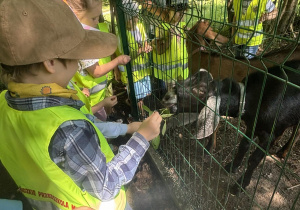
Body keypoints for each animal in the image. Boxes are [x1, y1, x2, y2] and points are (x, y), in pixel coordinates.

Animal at [163, 60, 300, 194]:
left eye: (201, 91)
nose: (167, 96)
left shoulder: (269, 134)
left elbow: (254, 160)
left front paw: (240, 185)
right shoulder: (252, 126)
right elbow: (243, 146)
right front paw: (232, 166)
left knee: (296, 131)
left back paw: (283, 151)